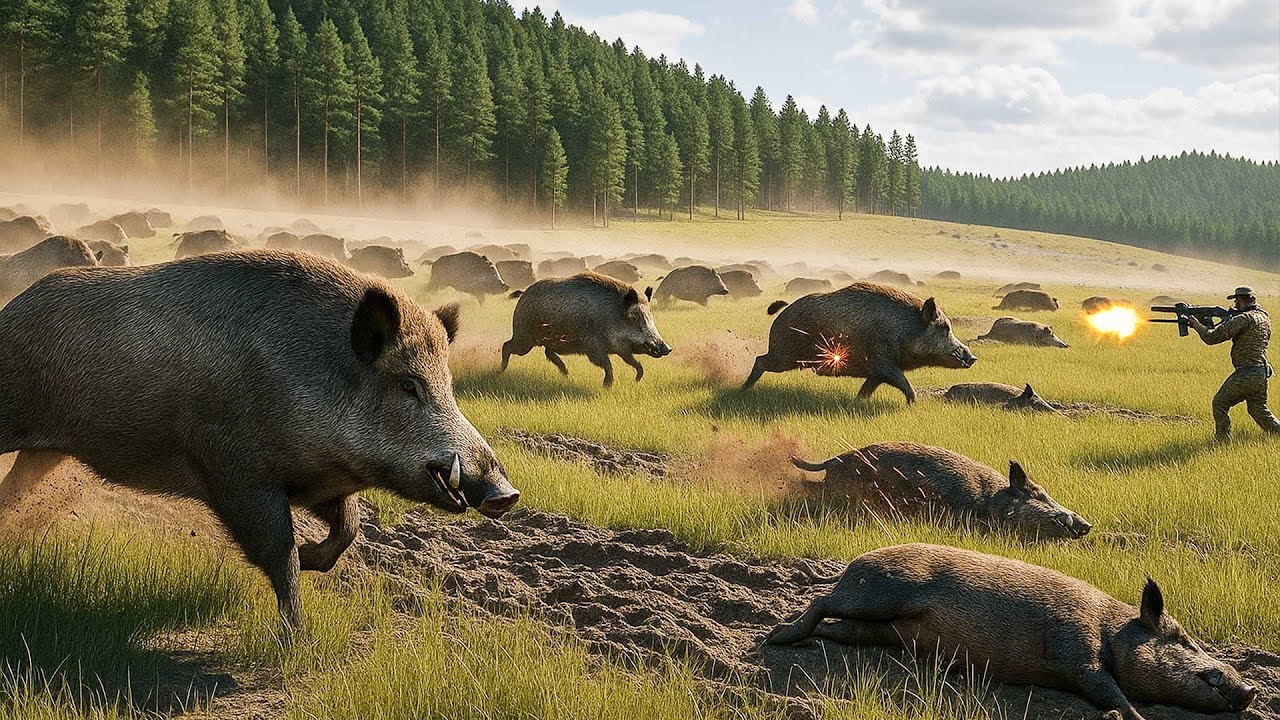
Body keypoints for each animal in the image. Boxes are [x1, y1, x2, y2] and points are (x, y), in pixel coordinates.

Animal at [0, 251, 520, 627]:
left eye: (448, 383)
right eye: (408, 384)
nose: (506, 493)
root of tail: (14, 306)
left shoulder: (318, 484)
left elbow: (348, 528)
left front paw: (312, 561)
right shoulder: (237, 473)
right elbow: (278, 553)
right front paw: (298, 636)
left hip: (48, 451)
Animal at [501, 272, 672, 388]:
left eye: (651, 316)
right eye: (635, 318)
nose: (668, 348)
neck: (611, 316)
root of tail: (523, 296)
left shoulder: (622, 350)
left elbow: (635, 363)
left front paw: (637, 380)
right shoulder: (593, 347)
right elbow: (607, 364)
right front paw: (607, 386)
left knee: (548, 352)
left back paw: (566, 374)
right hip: (524, 338)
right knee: (507, 345)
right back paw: (501, 371)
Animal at [745, 283, 976, 403]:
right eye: (945, 328)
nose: (973, 357)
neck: (903, 331)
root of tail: (784, 311)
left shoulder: (875, 372)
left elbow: (867, 389)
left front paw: (857, 403)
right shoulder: (883, 362)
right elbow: (904, 383)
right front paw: (913, 404)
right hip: (784, 355)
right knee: (760, 360)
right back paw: (744, 389)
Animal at [765, 544, 1256, 720]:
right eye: (1182, 640)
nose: (1251, 689)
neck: (1110, 629)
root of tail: (854, 561)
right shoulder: (1072, 645)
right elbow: (1106, 688)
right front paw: (1133, 716)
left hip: (881, 630)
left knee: (840, 628)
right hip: (884, 591)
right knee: (820, 602)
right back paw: (775, 638)